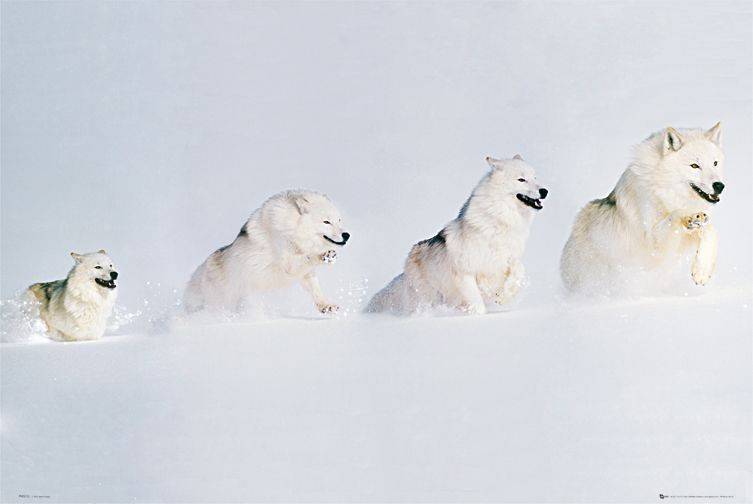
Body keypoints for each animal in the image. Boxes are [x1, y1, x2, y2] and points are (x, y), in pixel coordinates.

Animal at [184, 190, 350, 314]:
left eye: (339, 220)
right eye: (326, 222)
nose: (346, 235)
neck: (291, 229)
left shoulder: (305, 273)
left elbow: (316, 289)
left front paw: (326, 306)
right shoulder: (288, 265)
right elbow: (309, 258)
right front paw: (325, 256)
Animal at [366, 155, 547, 315]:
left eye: (535, 177)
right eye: (521, 179)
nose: (544, 191)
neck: (499, 220)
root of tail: (404, 273)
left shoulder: (508, 260)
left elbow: (518, 270)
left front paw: (503, 297)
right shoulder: (465, 272)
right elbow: (478, 304)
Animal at [560, 122, 725, 293]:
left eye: (715, 163)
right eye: (694, 166)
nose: (719, 186)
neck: (664, 189)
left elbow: (711, 230)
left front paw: (702, 271)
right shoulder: (653, 243)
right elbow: (677, 214)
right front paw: (690, 217)